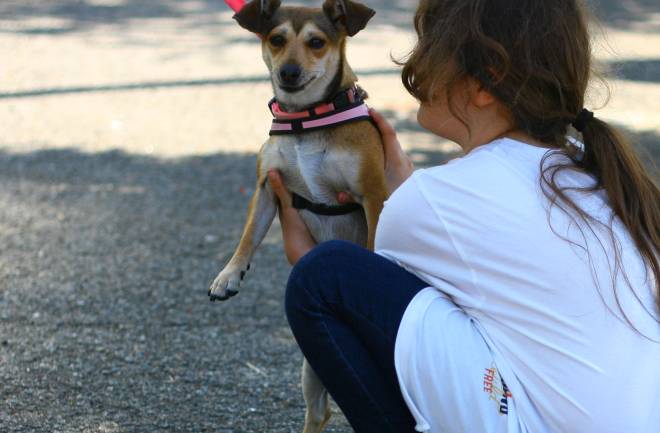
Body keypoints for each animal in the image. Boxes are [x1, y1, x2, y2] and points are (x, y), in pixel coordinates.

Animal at [210, 1, 386, 430]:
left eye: (317, 42)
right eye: (276, 39)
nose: (288, 72)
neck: (306, 118)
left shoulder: (373, 193)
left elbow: (376, 239)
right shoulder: (267, 188)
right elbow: (248, 236)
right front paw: (228, 275)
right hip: (312, 368)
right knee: (320, 411)